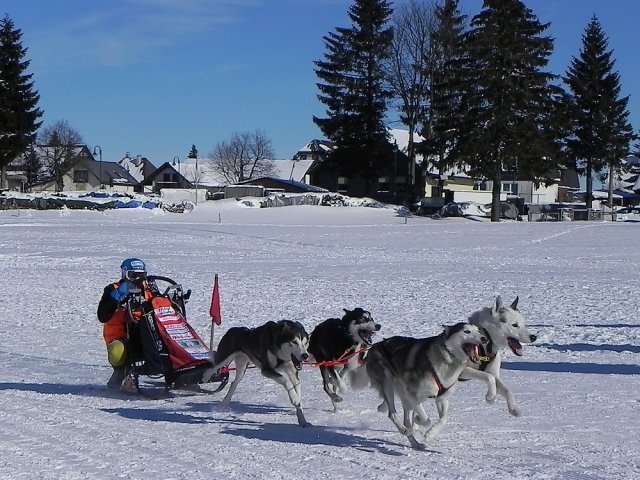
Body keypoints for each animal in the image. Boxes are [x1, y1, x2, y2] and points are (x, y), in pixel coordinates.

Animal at [364, 322, 496, 450]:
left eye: (478, 330)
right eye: (466, 331)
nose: (484, 338)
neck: (448, 359)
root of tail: (374, 347)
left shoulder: (441, 398)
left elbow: (443, 419)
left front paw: (431, 433)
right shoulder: (413, 394)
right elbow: (426, 420)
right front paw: (420, 423)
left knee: (406, 419)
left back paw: (415, 443)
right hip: (388, 383)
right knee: (393, 414)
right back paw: (405, 430)